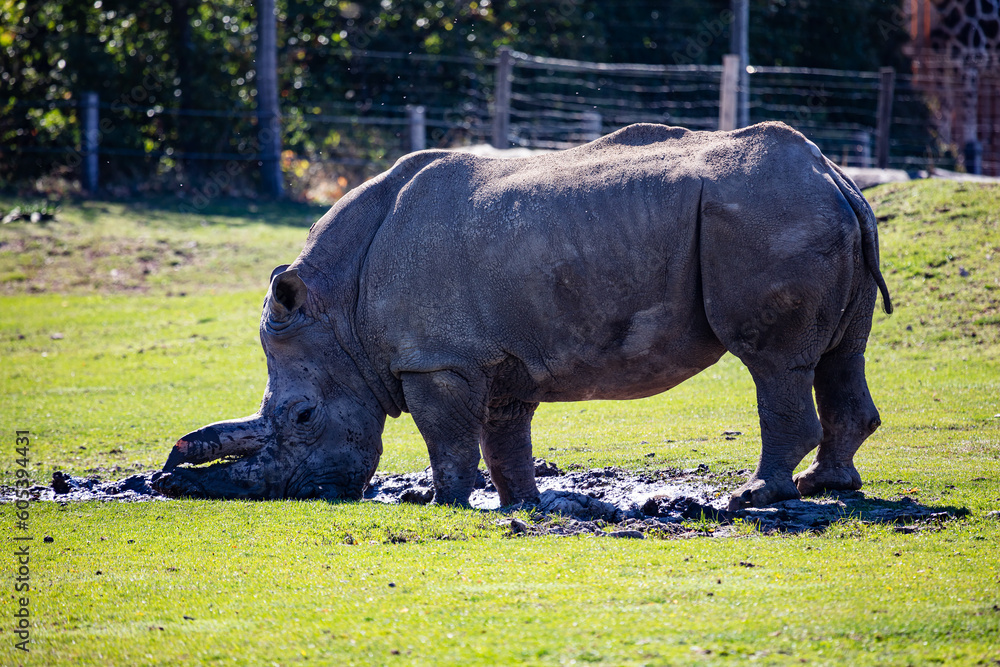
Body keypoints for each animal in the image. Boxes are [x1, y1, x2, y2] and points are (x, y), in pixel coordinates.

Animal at [152, 122, 893, 511]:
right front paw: (521, 505)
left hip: (771, 218)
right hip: (818, 214)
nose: (293, 492)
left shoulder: (435, 359)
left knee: (773, 362)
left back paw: (756, 497)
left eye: (304, 417)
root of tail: (835, 176)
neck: (339, 315)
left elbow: (448, 436)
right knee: (841, 353)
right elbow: (502, 435)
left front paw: (440, 504)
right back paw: (826, 485)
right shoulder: (498, 356)